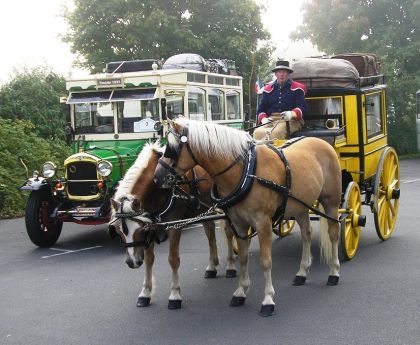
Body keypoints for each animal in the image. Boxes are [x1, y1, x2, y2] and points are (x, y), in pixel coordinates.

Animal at [109, 141, 236, 308]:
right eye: (118, 231)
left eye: (140, 231)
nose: (132, 262)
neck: (158, 187)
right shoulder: (152, 226)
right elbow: (149, 259)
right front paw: (145, 293)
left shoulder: (174, 227)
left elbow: (173, 259)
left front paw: (175, 295)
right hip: (204, 208)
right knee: (210, 233)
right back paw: (212, 266)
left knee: (229, 232)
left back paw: (231, 266)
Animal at [154, 119, 342, 318]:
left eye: (172, 149)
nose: (157, 178)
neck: (245, 171)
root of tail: (321, 142)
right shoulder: (240, 225)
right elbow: (244, 258)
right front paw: (241, 291)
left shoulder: (263, 223)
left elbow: (266, 261)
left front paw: (268, 299)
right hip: (300, 207)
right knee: (306, 234)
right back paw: (302, 272)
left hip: (330, 202)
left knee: (333, 233)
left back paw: (334, 272)